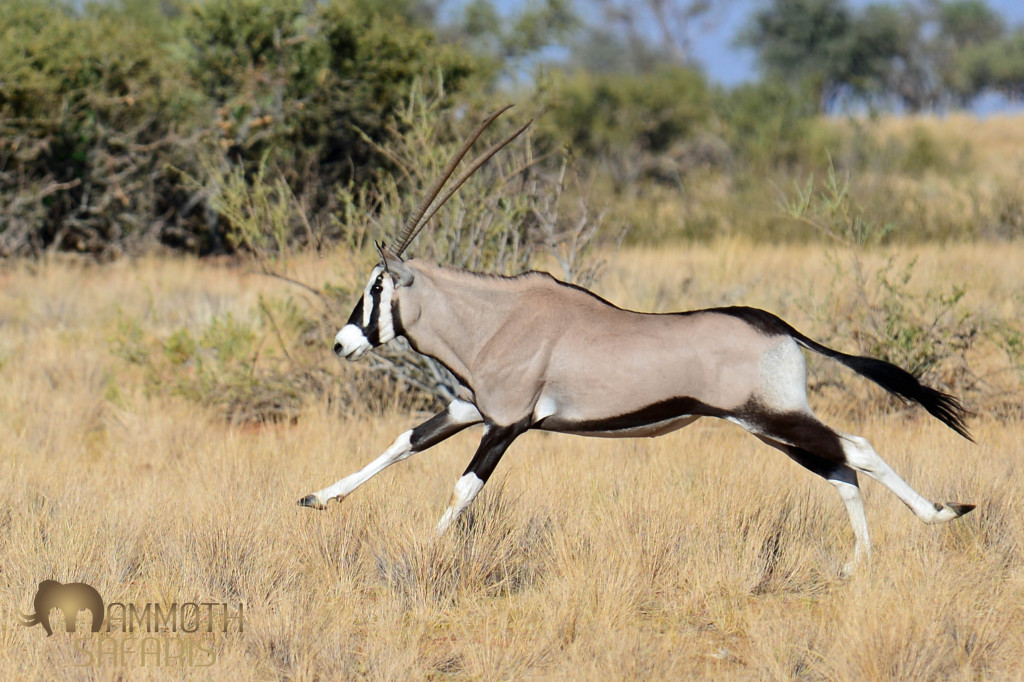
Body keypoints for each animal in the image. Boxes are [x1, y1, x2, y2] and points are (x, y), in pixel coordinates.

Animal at [299, 106, 974, 572]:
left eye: (377, 286)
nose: (342, 343)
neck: (496, 318)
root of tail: (781, 327)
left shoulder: (507, 423)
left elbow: (464, 487)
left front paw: (425, 550)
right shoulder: (471, 408)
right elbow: (404, 442)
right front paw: (317, 498)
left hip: (773, 416)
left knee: (857, 449)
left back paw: (941, 513)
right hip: (768, 427)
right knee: (840, 470)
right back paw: (856, 562)